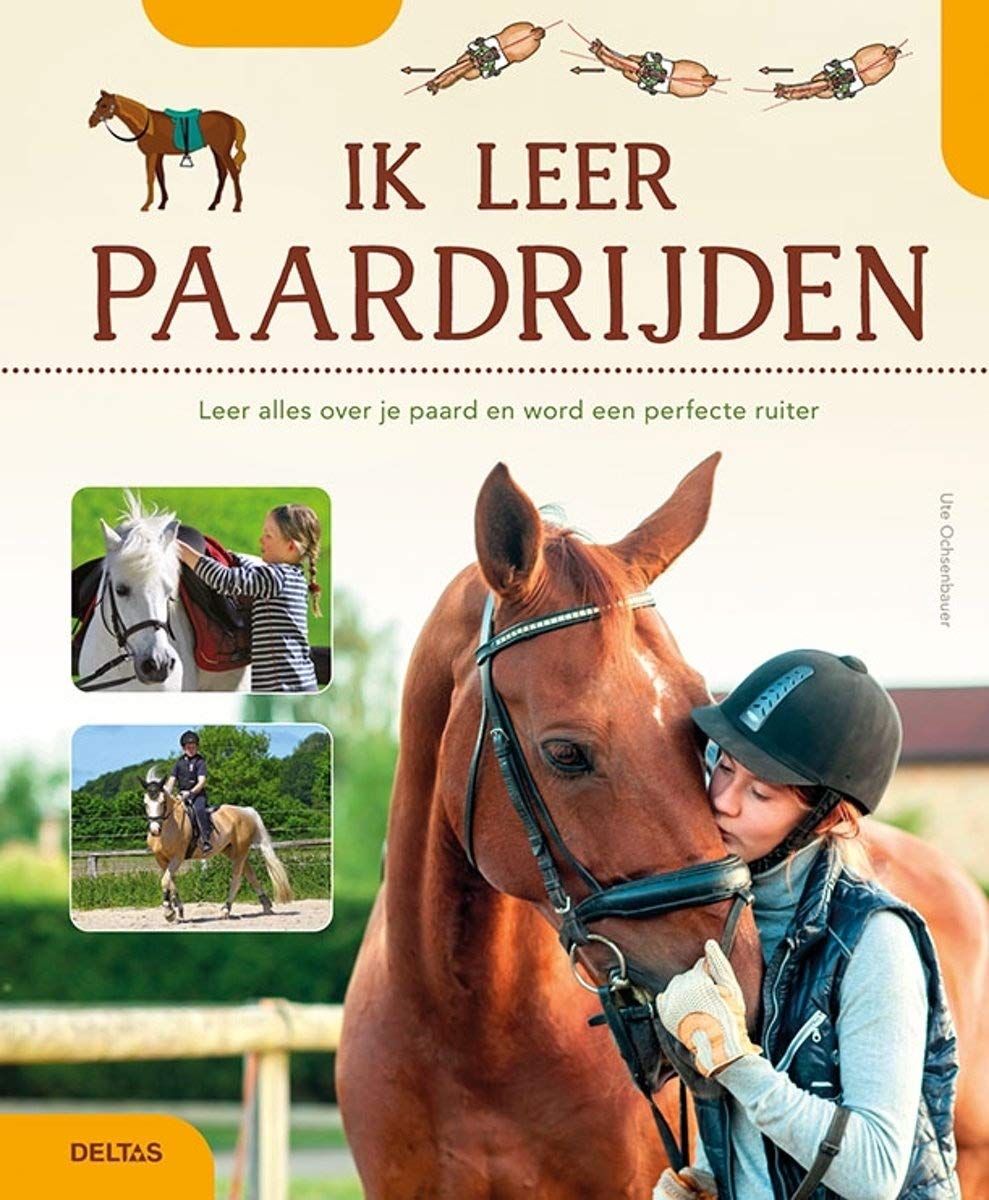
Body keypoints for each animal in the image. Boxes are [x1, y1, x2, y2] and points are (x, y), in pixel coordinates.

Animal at [88, 91, 246, 212]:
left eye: (104, 105)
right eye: (97, 104)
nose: (90, 122)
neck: (148, 125)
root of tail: (232, 119)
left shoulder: (151, 154)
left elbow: (150, 178)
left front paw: (146, 205)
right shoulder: (159, 154)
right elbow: (160, 177)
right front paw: (162, 204)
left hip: (222, 151)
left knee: (234, 173)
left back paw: (237, 206)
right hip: (216, 150)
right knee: (223, 174)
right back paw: (213, 205)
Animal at [141, 769, 293, 922]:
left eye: (162, 802)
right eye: (145, 803)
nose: (155, 830)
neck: (168, 828)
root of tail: (246, 811)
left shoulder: (177, 858)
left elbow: (165, 880)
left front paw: (168, 911)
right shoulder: (161, 859)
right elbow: (170, 881)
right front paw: (178, 910)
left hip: (241, 851)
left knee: (237, 878)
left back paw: (226, 910)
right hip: (232, 851)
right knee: (251, 875)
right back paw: (266, 905)